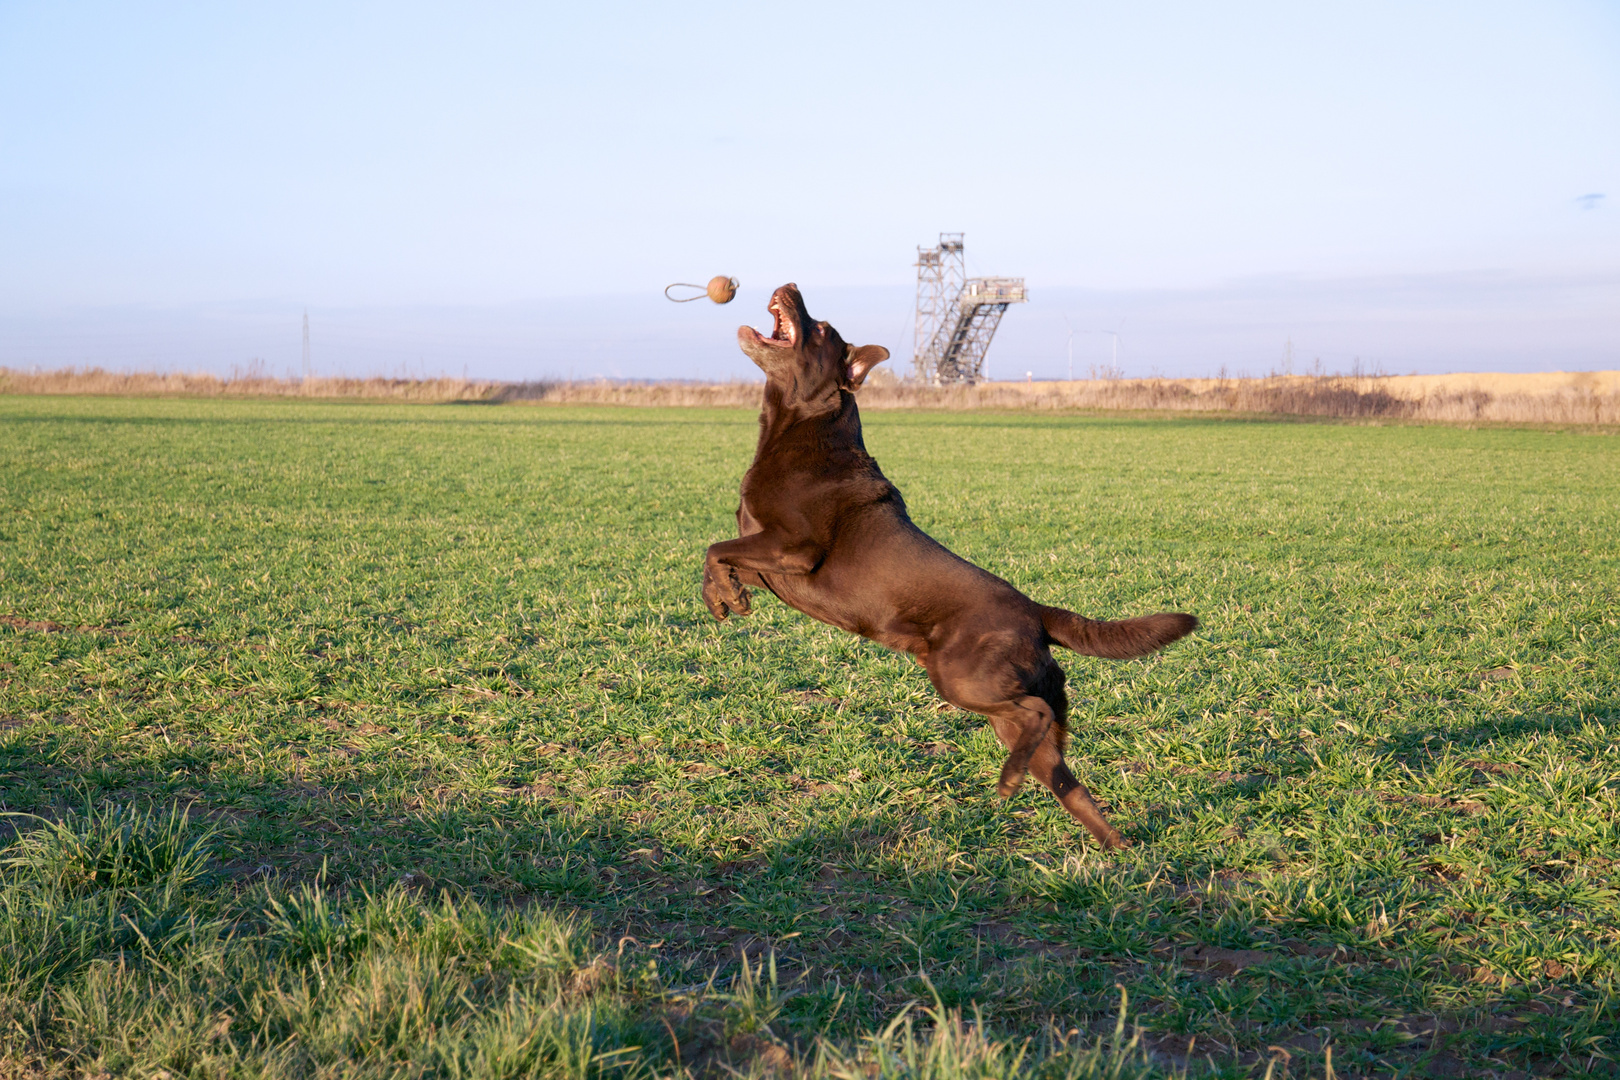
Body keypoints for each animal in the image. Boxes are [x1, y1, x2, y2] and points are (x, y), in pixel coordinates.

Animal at [703, 283, 1198, 848]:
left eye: (821, 329)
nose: (790, 287)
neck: (799, 425)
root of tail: (1036, 611)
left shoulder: (794, 548)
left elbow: (715, 547)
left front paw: (723, 594)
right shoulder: (767, 556)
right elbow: (720, 554)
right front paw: (726, 596)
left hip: (962, 679)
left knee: (1035, 714)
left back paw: (1008, 783)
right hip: (1005, 710)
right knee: (1066, 778)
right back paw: (1112, 846)